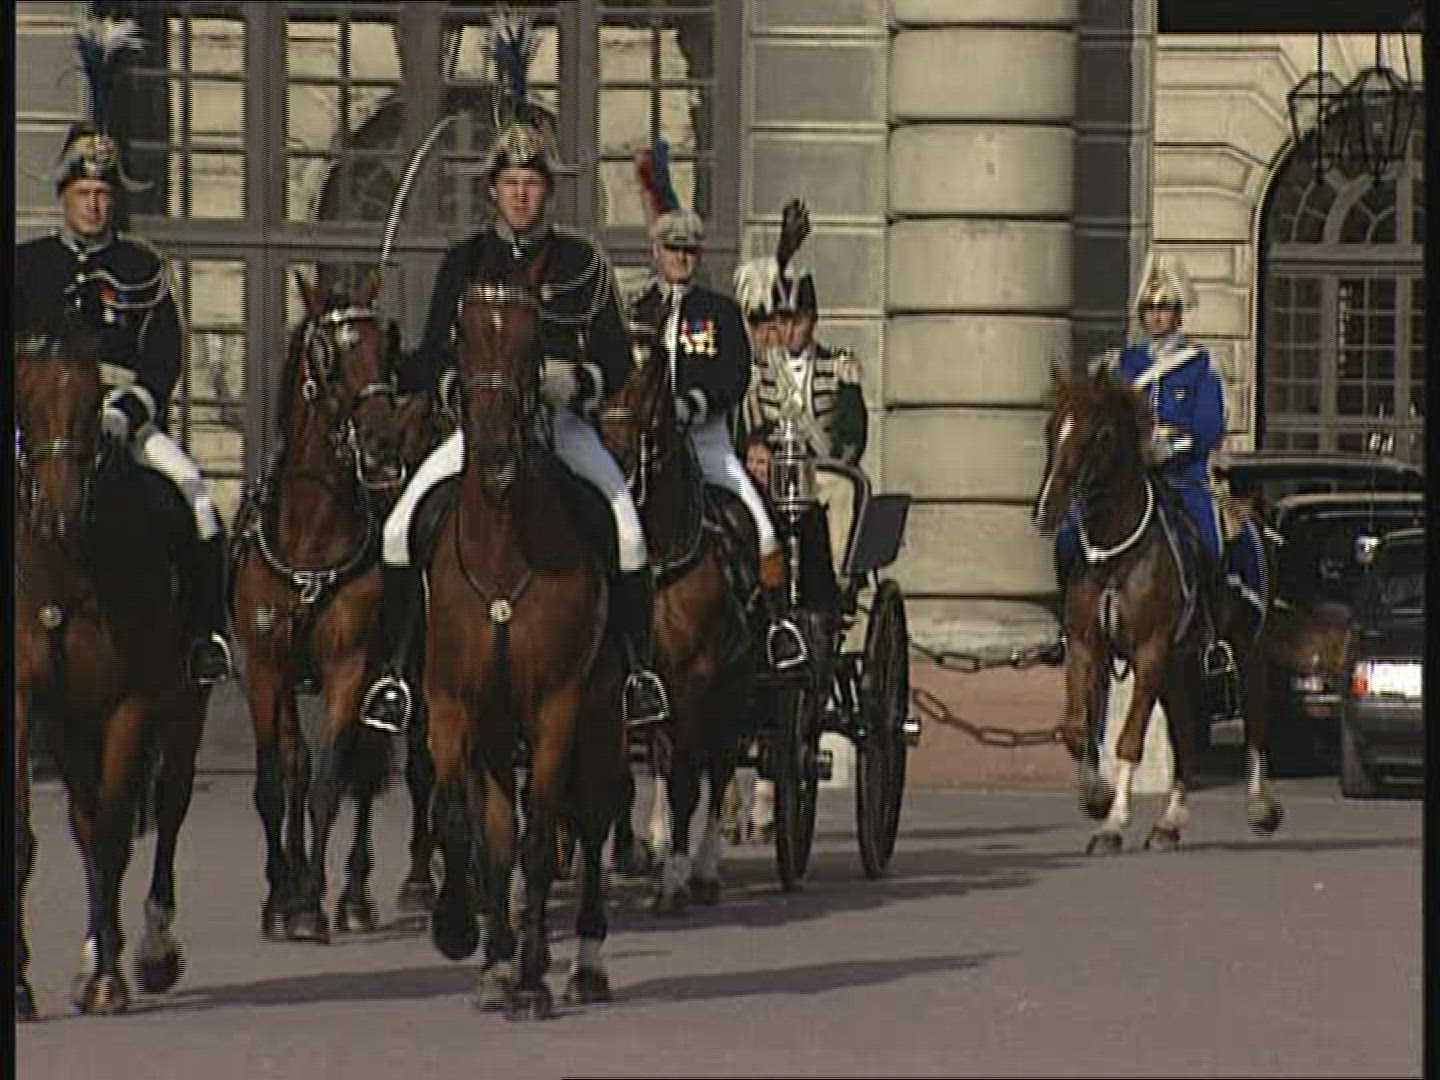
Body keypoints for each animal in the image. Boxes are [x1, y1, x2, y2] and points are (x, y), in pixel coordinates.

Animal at [15, 323, 210, 1017]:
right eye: (25, 394)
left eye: (89, 397)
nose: (62, 512)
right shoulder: (26, 702)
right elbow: (40, 837)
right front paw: (21, 983)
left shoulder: (133, 703)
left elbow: (116, 834)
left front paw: (110, 979)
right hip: (72, 726)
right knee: (85, 815)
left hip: (182, 711)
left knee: (168, 811)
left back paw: (150, 950)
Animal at [229, 269, 437, 942]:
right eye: (330, 353)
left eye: (384, 346)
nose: (380, 443)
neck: (309, 540)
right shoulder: (266, 666)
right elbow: (278, 779)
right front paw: (280, 896)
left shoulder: (350, 666)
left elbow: (329, 780)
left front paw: (310, 905)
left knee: (386, 767)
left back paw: (365, 893)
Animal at [422, 255, 628, 1020]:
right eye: (462, 334)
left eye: (534, 336)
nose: (494, 450)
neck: (506, 550)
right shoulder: (453, 704)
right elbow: (475, 833)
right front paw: (477, 945)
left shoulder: (556, 706)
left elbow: (542, 837)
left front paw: (535, 970)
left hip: (600, 720)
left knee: (591, 822)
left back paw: (586, 961)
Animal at [597, 333, 755, 912]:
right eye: (600, 400)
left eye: (651, 395)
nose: (614, 462)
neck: (662, 556)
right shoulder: (639, 682)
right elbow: (644, 770)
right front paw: (654, 860)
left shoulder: (697, 680)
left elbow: (691, 779)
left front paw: (679, 876)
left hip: (734, 691)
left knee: (721, 763)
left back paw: (704, 866)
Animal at [1031, 363, 1283, 853]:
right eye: (1052, 427)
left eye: (1101, 434)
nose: (1047, 510)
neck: (1115, 555)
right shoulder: (1087, 645)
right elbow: (1076, 728)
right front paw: (1097, 797)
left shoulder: (1149, 649)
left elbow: (1129, 740)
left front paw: (1112, 824)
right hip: (1176, 665)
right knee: (1185, 733)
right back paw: (1169, 822)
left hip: (1245, 646)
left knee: (1258, 719)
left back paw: (1261, 807)